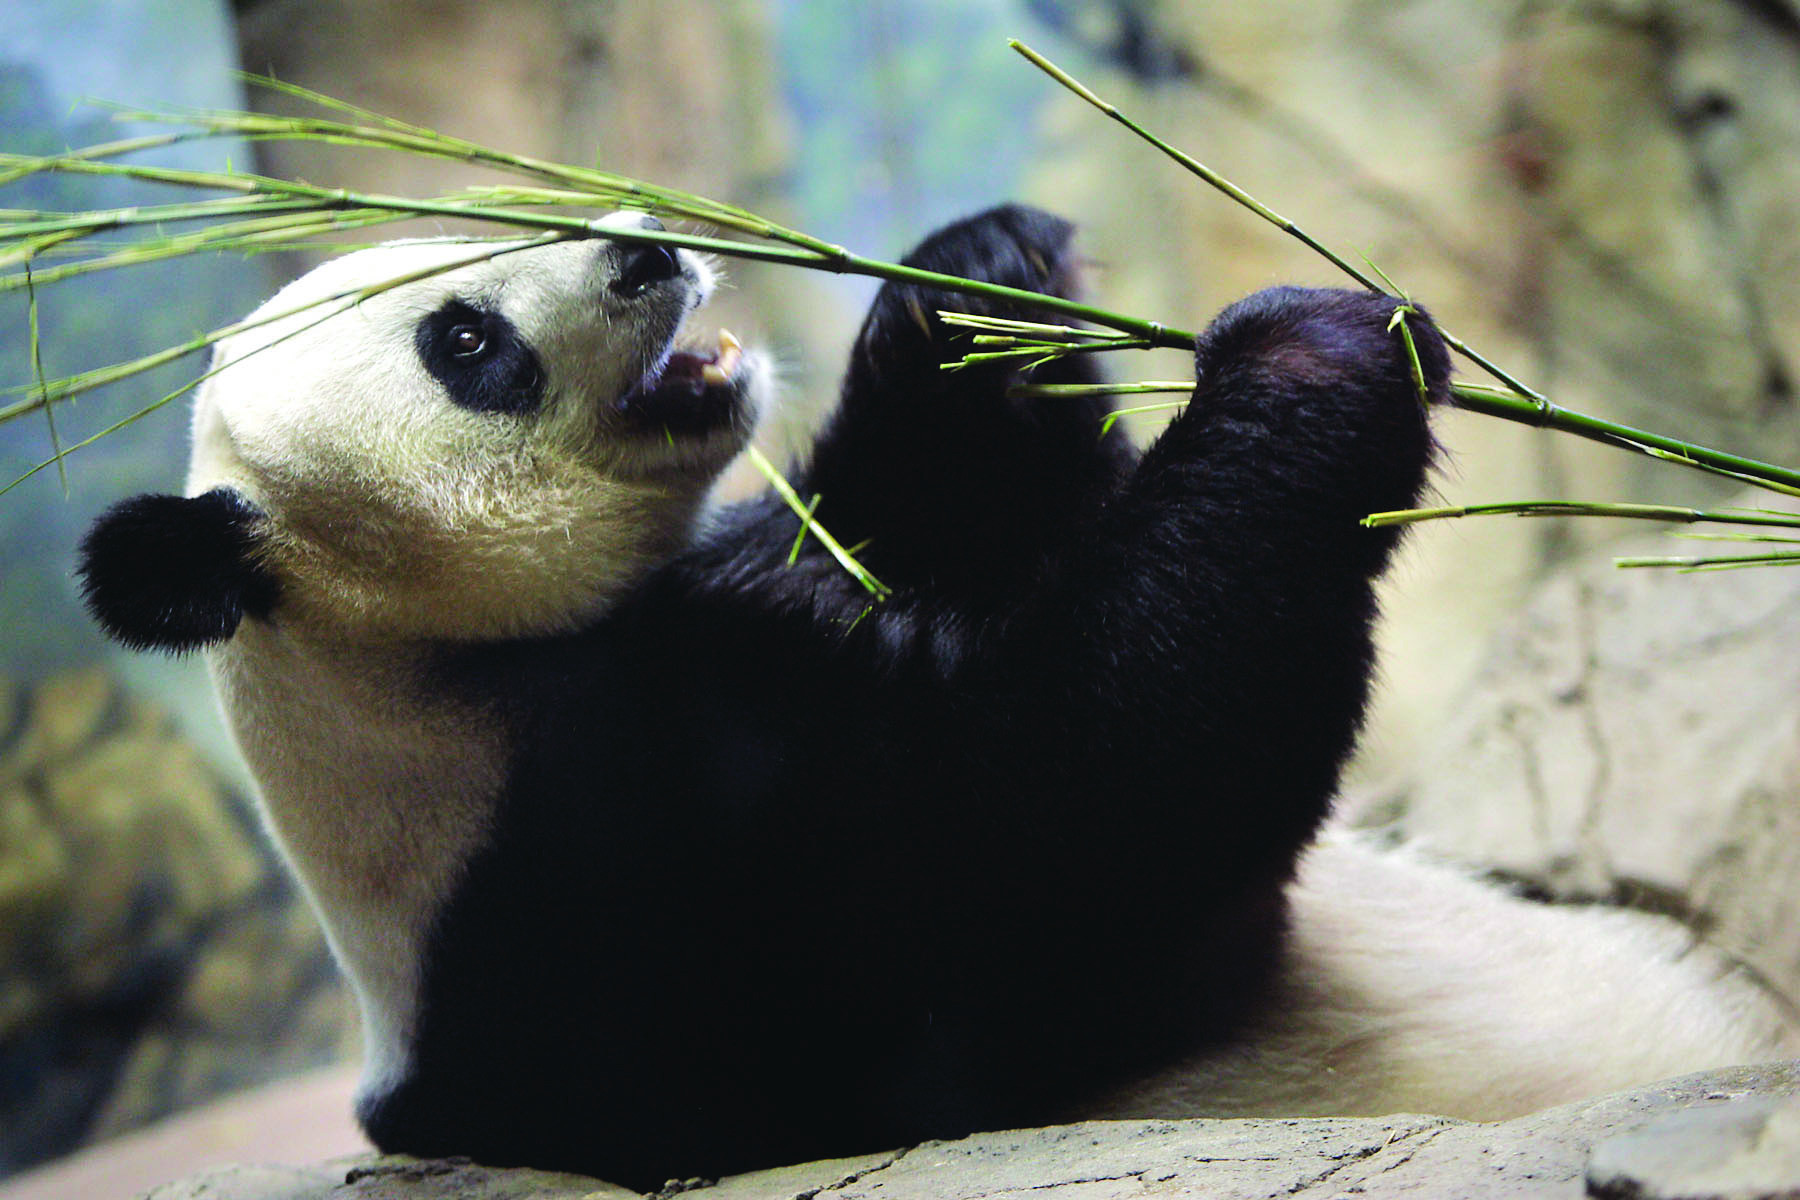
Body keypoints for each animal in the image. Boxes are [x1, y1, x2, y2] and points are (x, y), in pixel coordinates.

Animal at [77, 205, 1797, 1189]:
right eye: (464, 338)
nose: (644, 251)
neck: (418, 671)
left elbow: (932, 521)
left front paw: (976, 285)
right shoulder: (625, 886)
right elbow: (1079, 839)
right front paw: (1307, 354)